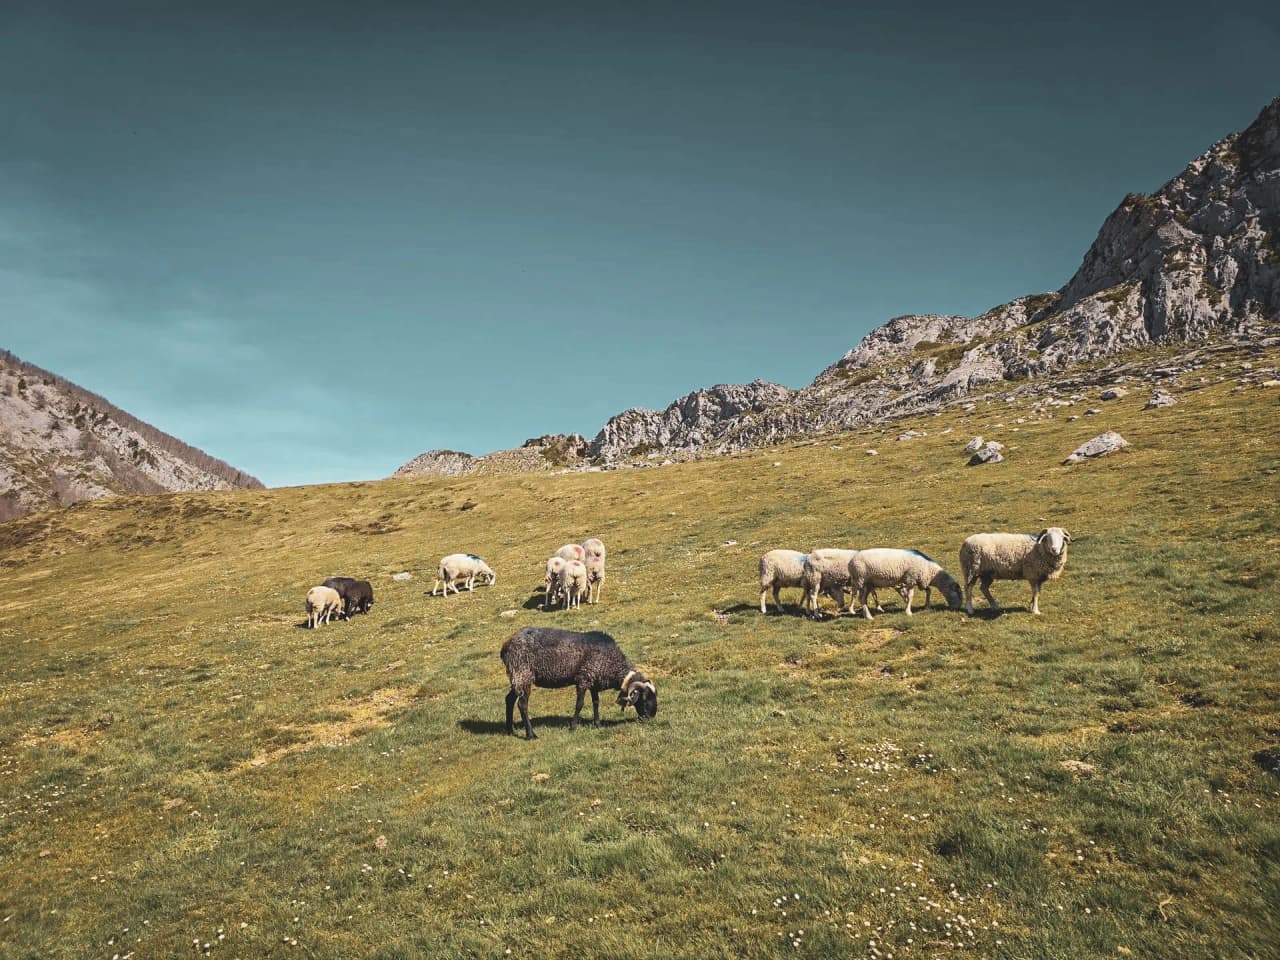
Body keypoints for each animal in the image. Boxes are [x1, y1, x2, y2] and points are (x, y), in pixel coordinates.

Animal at [500, 626, 657, 739]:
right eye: (643, 698)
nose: (651, 717)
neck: (612, 662)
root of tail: (505, 646)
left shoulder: (594, 681)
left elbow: (596, 702)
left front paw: (597, 724)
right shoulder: (583, 679)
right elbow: (580, 704)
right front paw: (573, 726)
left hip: (517, 677)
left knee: (509, 699)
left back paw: (509, 730)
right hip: (523, 674)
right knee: (522, 704)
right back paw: (530, 734)